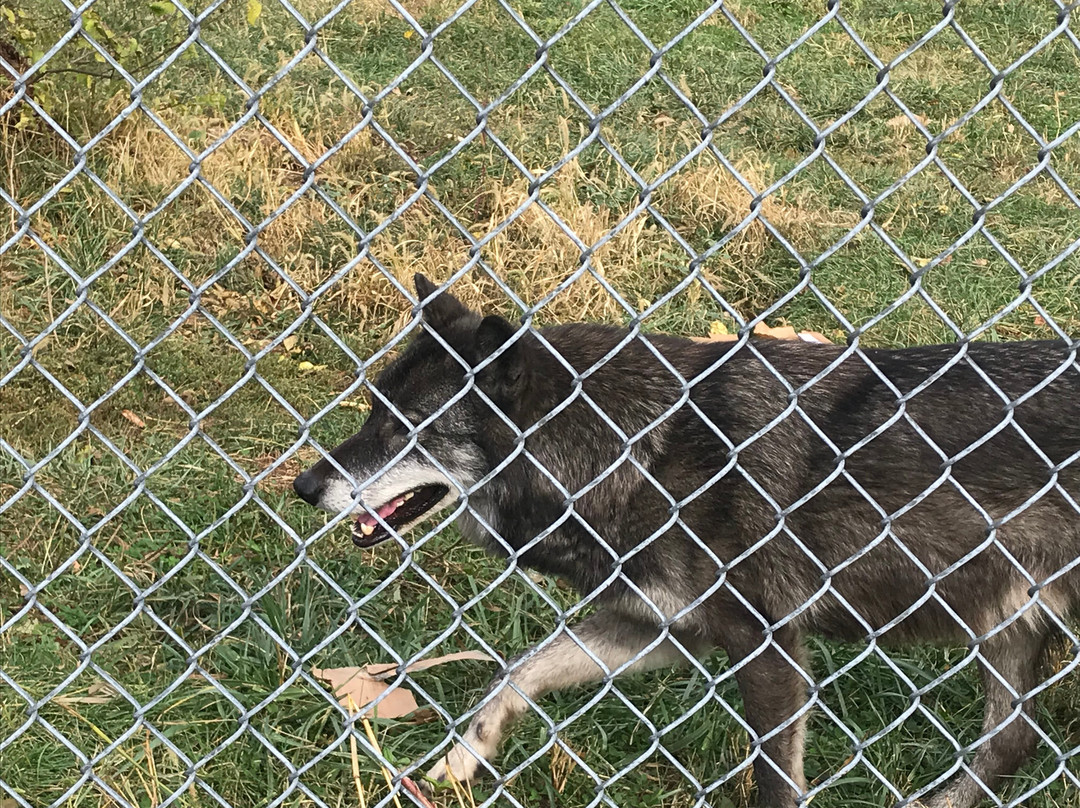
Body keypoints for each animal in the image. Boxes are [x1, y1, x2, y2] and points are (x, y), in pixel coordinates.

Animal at [293, 274, 1080, 803]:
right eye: (371, 412)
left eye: (405, 428)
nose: (303, 486)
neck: (635, 452)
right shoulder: (666, 630)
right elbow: (518, 669)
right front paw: (465, 756)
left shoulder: (768, 649)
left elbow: (774, 783)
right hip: (1009, 628)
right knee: (1010, 740)